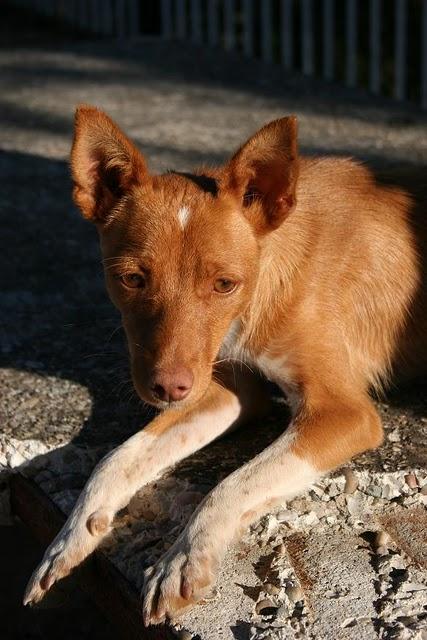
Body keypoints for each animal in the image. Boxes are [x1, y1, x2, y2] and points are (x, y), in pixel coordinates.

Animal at [25, 106, 426, 624]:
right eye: (131, 279)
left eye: (224, 284)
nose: (167, 390)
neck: (268, 268)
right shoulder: (225, 389)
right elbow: (117, 459)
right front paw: (71, 536)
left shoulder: (342, 411)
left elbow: (233, 483)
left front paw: (183, 558)